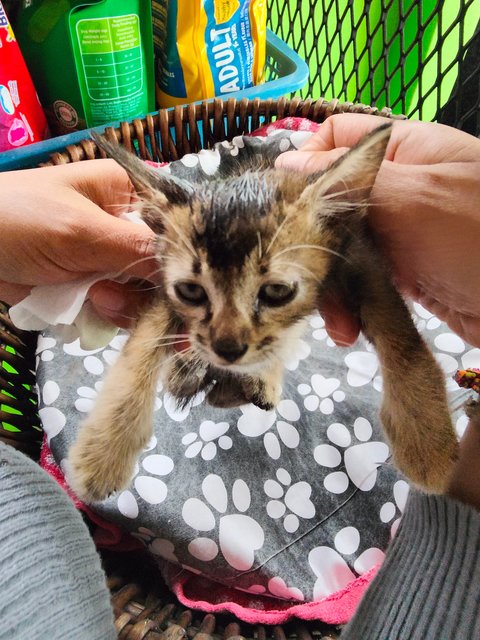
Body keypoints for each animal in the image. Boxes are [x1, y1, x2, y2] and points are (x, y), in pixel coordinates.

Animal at [67, 125, 458, 502]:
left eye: (276, 291)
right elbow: (141, 347)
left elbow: (401, 335)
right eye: (191, 291)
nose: (227, 349)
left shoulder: (361, 259)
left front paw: (426, 440)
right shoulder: (163, 289)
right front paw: (104, 450)